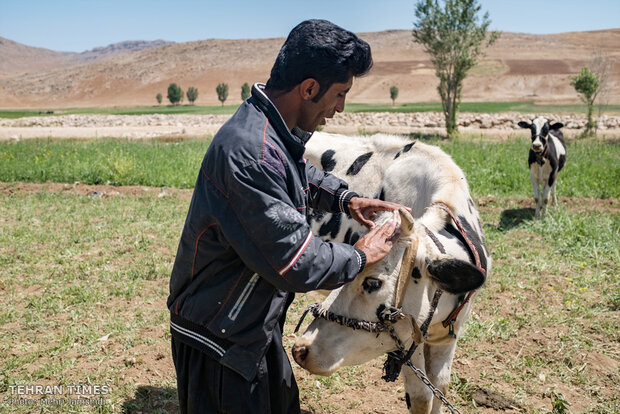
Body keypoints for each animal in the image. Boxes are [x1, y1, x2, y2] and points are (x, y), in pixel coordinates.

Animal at [294, 133, 492, 414]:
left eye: (373, 282)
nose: (302, 348)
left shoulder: (447, 338)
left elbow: (440, 387)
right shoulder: (408, 341)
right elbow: (422, 396)